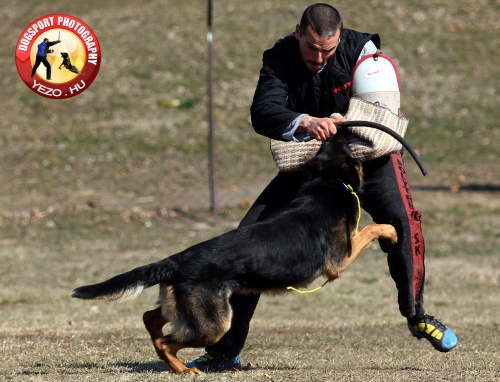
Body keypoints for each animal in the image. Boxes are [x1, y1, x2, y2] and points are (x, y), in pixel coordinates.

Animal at [71, 131, 398, 374]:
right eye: (347, 145)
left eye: (329, 142)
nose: (338, 126)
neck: (329, 179)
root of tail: (176, 260)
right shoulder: (339, 261)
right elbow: (373, 227)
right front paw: (392, 232)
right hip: (215, 324)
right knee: (165, 341)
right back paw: (184, 370)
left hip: (186, 309)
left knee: (150, 319)